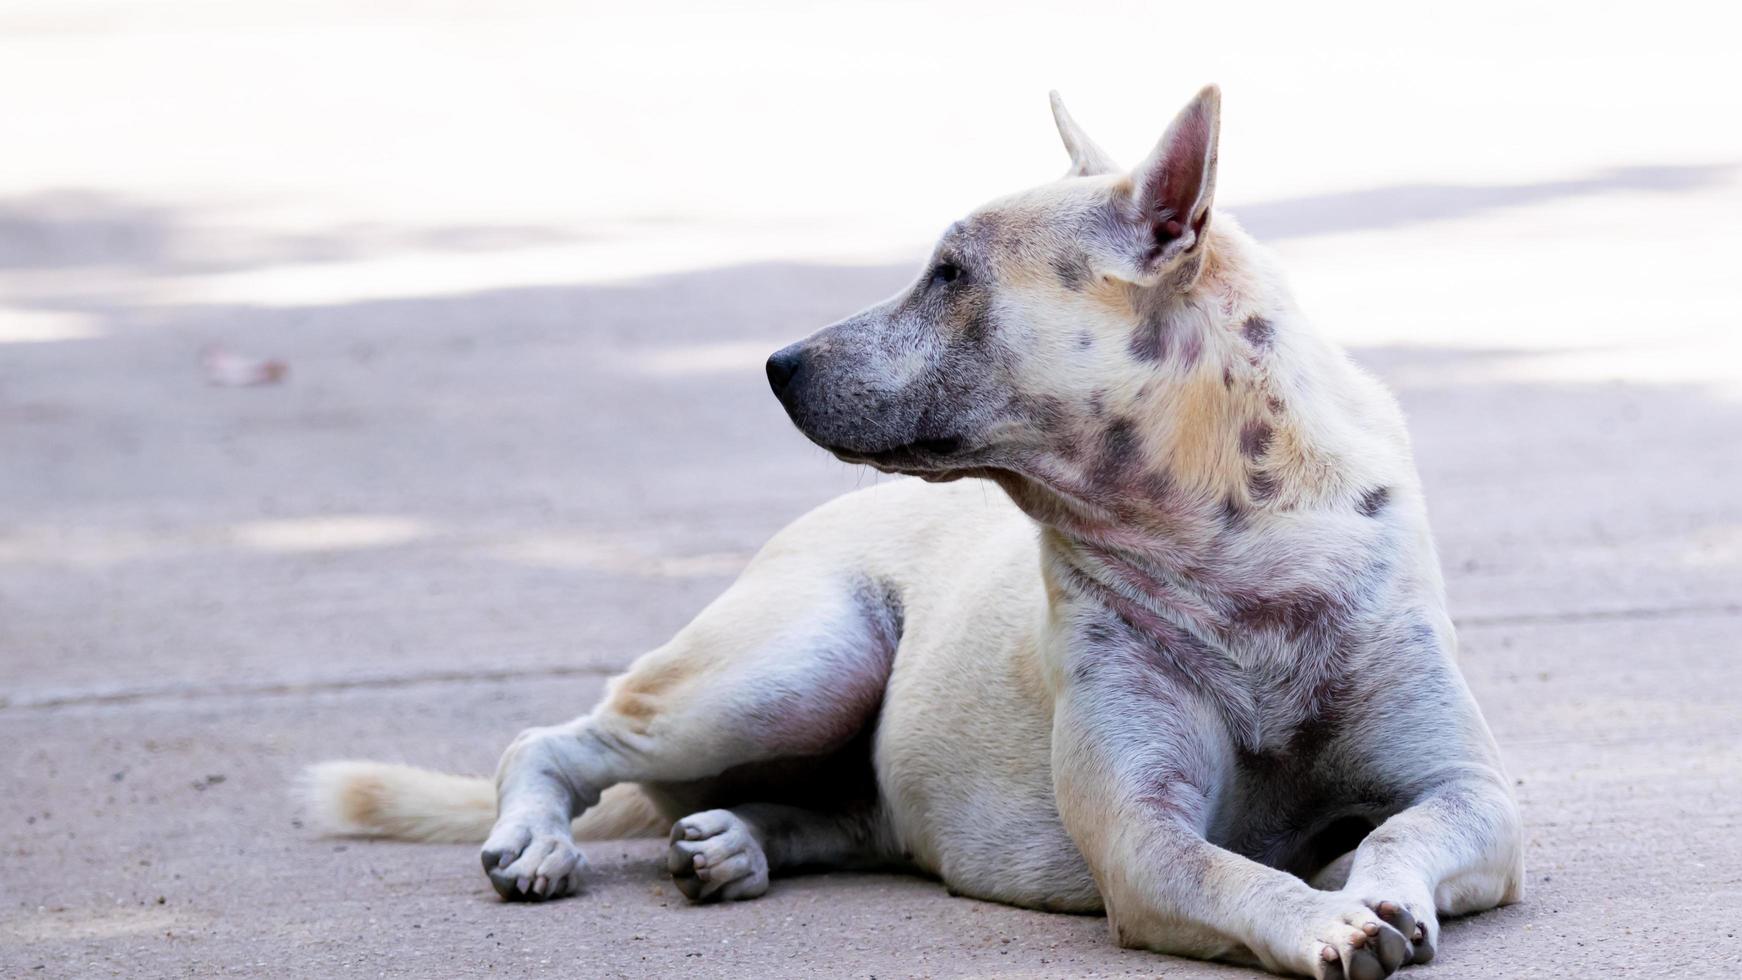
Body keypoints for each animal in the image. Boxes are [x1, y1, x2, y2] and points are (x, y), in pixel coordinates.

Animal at [310, 88, 1525, 974]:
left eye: (950, 275)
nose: (775, 364)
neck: (1226, 547)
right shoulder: (1143, 837)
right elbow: (1238, 872)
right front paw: (1324, 916)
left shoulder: (1474, 796)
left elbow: (1397, 828)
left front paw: (1367, 884)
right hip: (796, 663)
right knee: (556, 741)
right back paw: (538, 835)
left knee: (848, 813)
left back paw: (737, 840)